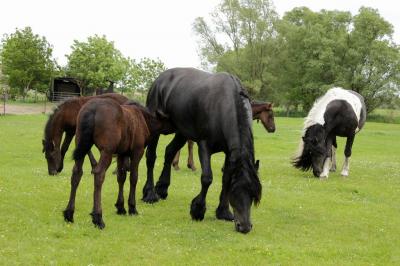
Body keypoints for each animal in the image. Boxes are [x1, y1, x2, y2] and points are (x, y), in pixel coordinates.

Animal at [62, 98, 170, 228]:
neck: (143, 118)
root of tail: (92, 109)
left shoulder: (121, 154)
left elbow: (121, 177)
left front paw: (121, 207)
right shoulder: (137, 152)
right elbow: (133, 178)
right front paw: (132, 208)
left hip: (82, 147)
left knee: (77, 173)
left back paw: (69, 213)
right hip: (107, 152)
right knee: (99, 174)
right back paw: (98, 217)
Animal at [142, 68, 260, 233]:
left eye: (254, 194)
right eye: (235, 191)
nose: (244, 227)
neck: (224, 105)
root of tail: (159, 80)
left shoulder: (229, 153)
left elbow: (226, 178)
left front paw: (223, 212)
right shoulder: (204, 146)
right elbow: (207, 178)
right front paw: (197, 210)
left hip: (181, 131)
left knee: (169, 151)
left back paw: (162, 188)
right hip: (155, 128)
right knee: (151, 157)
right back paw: (150, 194)